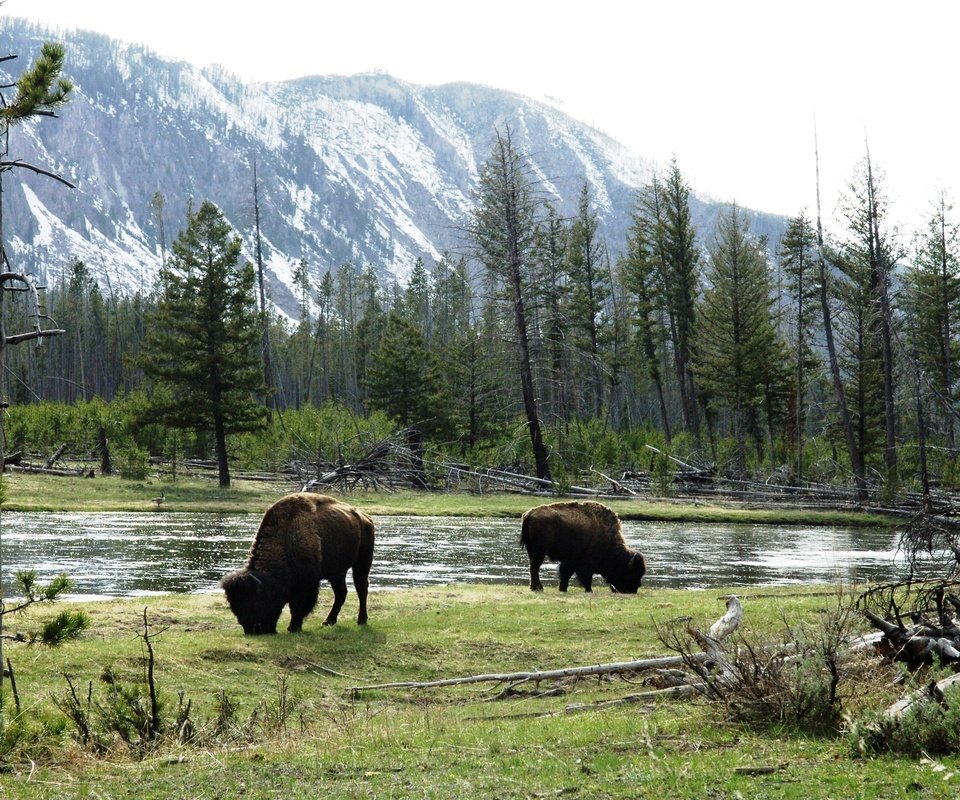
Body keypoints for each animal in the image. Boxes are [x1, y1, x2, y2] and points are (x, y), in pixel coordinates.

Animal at [222, 490, 376, 636]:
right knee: (341, 593)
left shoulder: (306, 583)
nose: (253, 630)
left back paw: (361, 620)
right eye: (234, 607)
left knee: (361, 589)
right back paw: (328, 621)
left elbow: (297, 606)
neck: (285, 539)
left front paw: (293, 627)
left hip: (362, 563)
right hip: (337, 572)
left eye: (256, 602)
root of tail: (366, 517)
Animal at [520, 500, 648, 592]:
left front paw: (563, 589)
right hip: (539, 552)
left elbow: (565, 575)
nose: (634, 589)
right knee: (535, 567)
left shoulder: (570, 561)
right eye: (631, 572)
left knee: (533, 567)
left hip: (532, 551)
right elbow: (586, 578)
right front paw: (589, 590)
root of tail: (528, 514)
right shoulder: (586, 564)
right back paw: (537, 588)